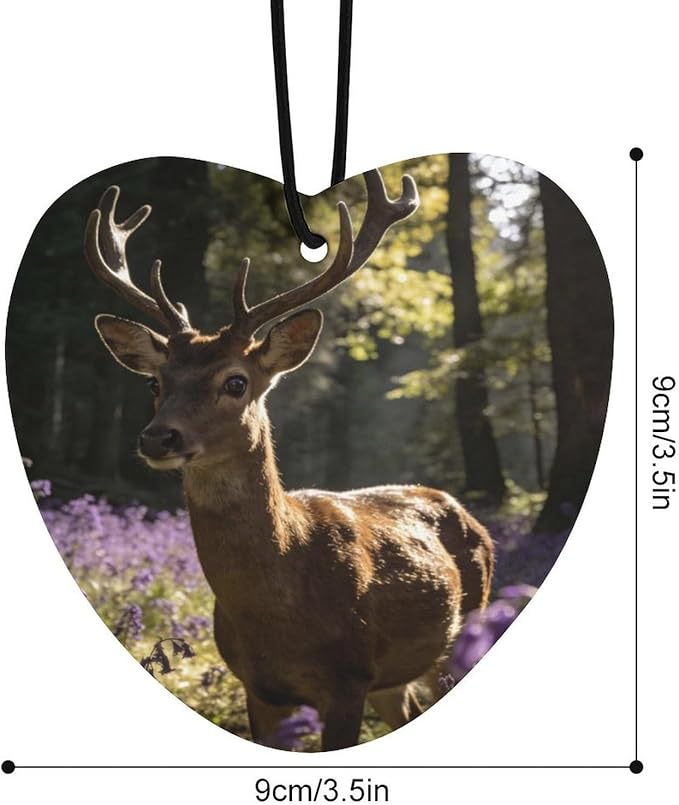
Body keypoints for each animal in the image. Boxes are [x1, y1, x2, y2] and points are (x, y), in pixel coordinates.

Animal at [84, 168, 494, 751]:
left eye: (236, 382)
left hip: (463, 634)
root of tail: (471, 518)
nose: (157, 437)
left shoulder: (347, 678)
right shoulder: (259, 688)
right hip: (395, 678)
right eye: (154, 383)